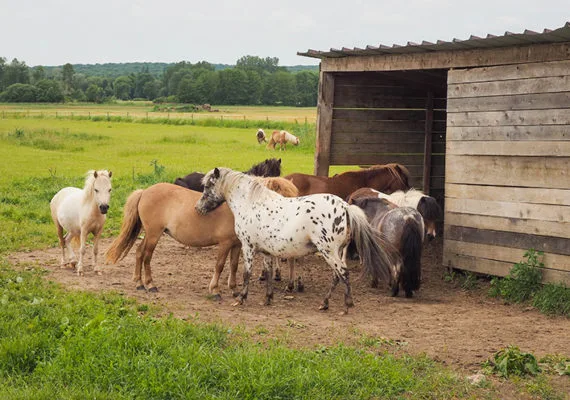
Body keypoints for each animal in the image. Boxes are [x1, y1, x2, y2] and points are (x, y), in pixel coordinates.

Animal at [195, 167, 400, 310]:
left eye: (207, 186)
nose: (198, 208)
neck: (251, 203)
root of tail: (345, 207)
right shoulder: (266, 251)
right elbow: (268, 273)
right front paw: (268, 298)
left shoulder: (248, 246)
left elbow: (246, 273)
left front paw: (241, 299)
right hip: (338, 252)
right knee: (337, 275)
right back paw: (325, 303)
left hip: (328, 251)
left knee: (342, 273)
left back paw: (345, 304)